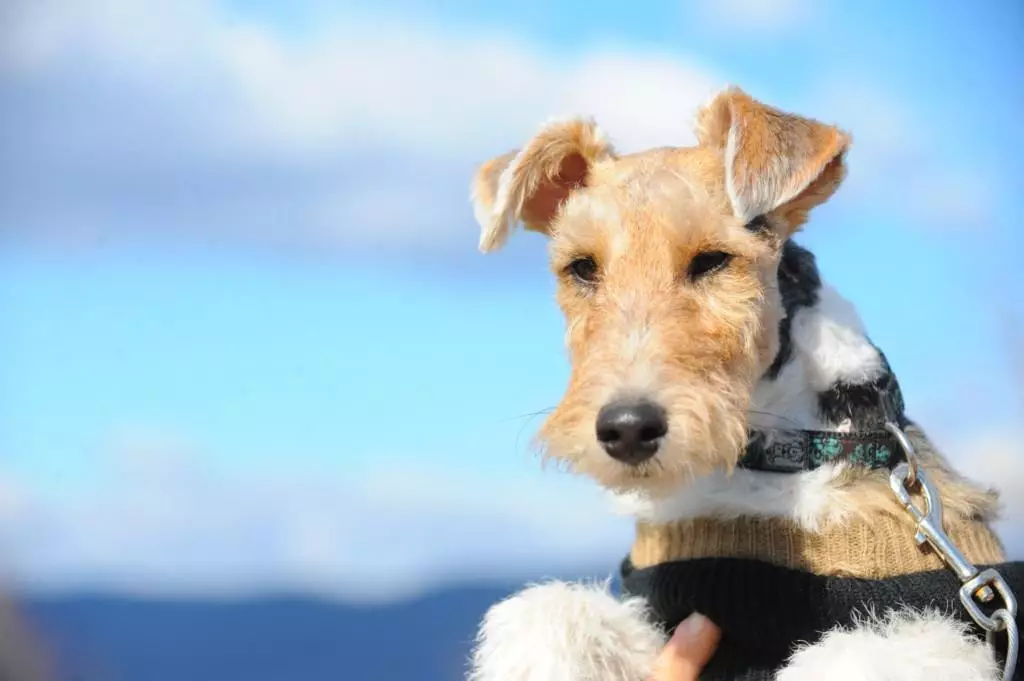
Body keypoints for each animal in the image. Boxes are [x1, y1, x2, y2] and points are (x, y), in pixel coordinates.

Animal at [468, 86, 1019, 679]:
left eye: (713, 260)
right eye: (582, 267)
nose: (628, 429)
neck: (775, 455)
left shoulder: (934, 629)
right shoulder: (665, 611)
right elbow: (550, 613)